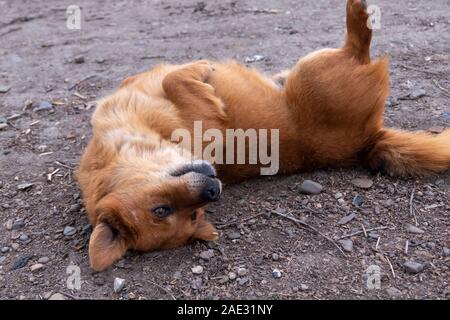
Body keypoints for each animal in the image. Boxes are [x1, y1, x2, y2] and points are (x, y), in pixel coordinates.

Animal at [77, 0, 450, 272]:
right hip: (312, 72)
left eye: (160, 209)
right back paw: (356, 12)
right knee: (358, 46)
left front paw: (199, 68)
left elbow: (169, 78)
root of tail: (366, 142)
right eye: (169, 212)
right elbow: (176, 81)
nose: (214, 191)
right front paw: (200, 71)